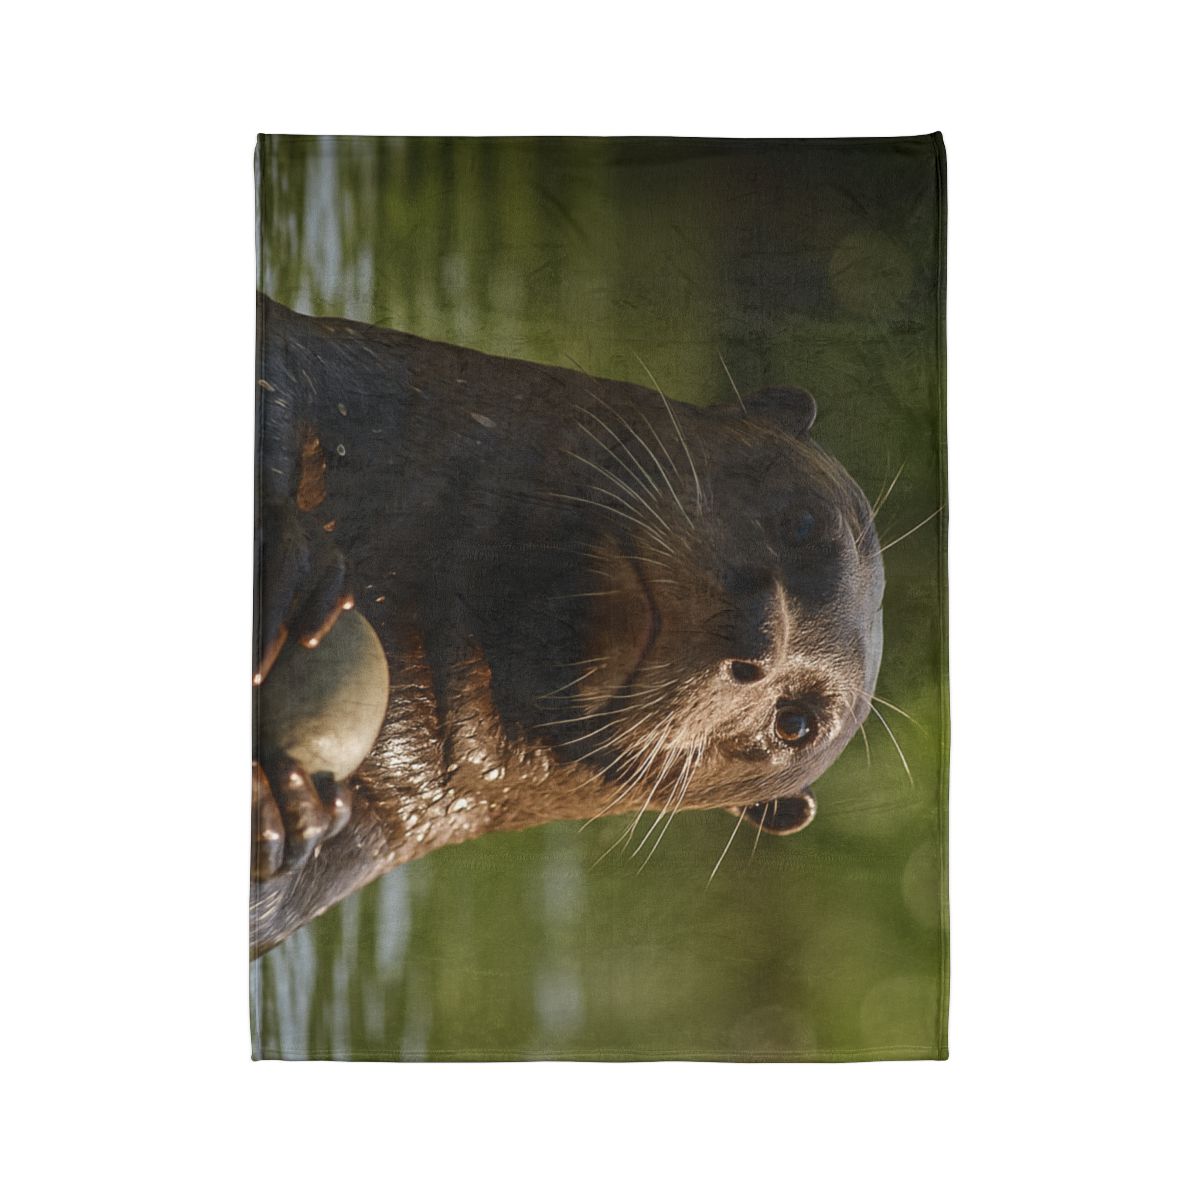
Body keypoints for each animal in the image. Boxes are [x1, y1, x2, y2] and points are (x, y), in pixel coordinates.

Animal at [252, 294, 885, 957]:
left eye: (795, 723)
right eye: (804, 524)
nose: (755, 635)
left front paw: (289, 807)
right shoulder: (364, 377)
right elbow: (279, 371)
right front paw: (292, 558)